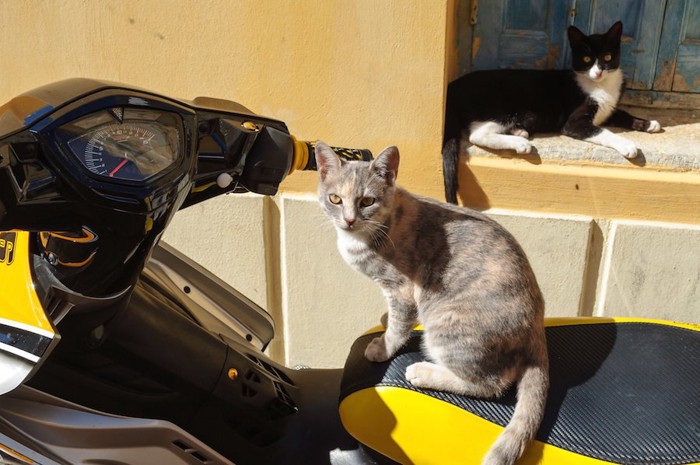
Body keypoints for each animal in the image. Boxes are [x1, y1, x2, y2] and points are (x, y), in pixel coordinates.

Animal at [314, 141, 548, 464]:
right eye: (335, 199)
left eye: (367, 201)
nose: (349, 219)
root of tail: (537, 327)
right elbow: (394, 318)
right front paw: (384, 320)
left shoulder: (402, 290)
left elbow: (399, 326)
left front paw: (382, 347)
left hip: (446, 324)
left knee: (491, 384)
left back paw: (424, 372)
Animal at [442, 21, 660, 203]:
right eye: (586, 59)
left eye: (607, 57)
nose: (598, 72)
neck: (601, 86)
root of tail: (453, 87)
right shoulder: (575, 122)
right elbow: (604, 131)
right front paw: (627, 144)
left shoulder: (609, 109)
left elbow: (623, 114)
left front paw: (649, 123)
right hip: (500, 108)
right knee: (477, 135)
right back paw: (520, 143)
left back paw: (520, 132)